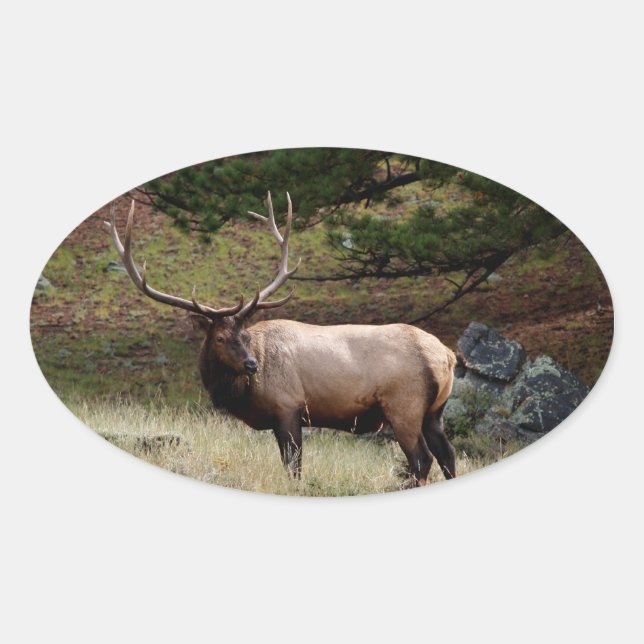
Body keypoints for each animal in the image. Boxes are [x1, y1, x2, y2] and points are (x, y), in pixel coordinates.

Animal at [105, 192, 457, 485]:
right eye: (220, 337)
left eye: (244, 334)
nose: (251, 364)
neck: (242, 395)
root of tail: (448, 356)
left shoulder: (288, 407)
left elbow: (294, 467)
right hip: (434, 412)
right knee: (448, 455)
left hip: (404, 406)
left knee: (422, 459)